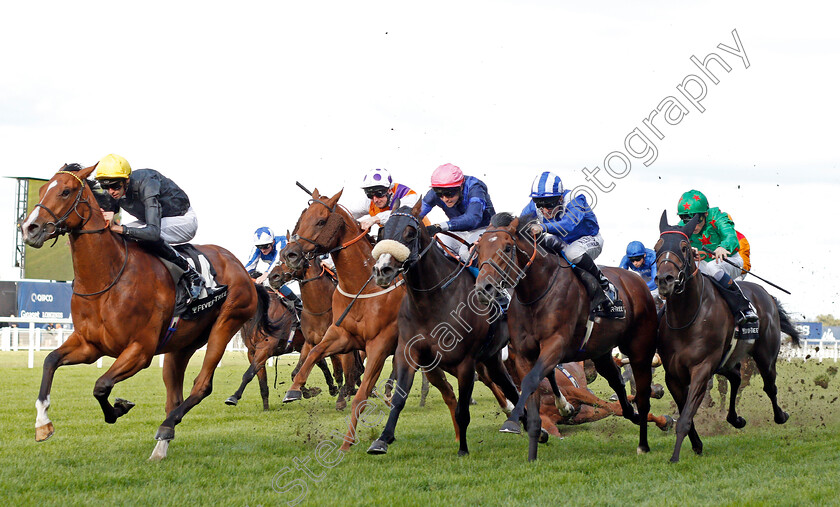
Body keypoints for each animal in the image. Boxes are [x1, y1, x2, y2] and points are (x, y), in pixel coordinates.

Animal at [22, 163, 276, 460]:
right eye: (42, 188)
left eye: (66, 191)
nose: (29, 228)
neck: (107, 278)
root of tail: (242, 270)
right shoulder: (89, 345)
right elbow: (50, 361)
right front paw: (42, 423)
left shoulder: (140, 350)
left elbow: (101, 385)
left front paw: (118, 408)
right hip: (181, 345)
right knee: (174, 396)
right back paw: (161, 446)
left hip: (226, 324)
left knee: (202, 385)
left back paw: (166, 427)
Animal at [278, 189, 404, 450]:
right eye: (301, 218)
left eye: (321, 221)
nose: (290, 254)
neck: (362, 286)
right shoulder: (341, 336)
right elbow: (314, 355)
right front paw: (294, 390)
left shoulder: (379, 344)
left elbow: (359, 390)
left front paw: (347, 441)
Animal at [366, 202, 520, 456]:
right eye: (382, 232)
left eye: (410, 233)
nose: (382, 270)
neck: (432, 300)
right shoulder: (409, 351)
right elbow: (399, 398)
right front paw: (382, 439)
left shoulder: (466, 362)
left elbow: (462, 410)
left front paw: (463, 449)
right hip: (491, 359)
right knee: (509, 388)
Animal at [472, 212, 664, 462]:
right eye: (478, 248)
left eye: (507, 247)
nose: (484, 288)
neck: (535, 294)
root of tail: (636, 280)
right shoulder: (523, 355)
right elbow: (530, 387)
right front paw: (532, 447)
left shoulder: (556, 345)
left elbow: (533, 381)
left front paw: (515, 422)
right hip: (600, 351)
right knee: (616, 381)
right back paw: (631, 412)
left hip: (639, 344)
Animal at [648, 212, 800, 462]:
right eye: (657, 246)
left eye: (684, 247)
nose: (665, 280)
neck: (686, 318)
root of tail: (766, 295)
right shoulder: (673, 374)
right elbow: (685, 412)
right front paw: (697, 445)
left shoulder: (702, 367)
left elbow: (686, 415)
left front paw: (675, 456)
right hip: (727, 360)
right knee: (736, 379)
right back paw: (734, 419)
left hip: (765, 356)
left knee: (769, 386)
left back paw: (781, 416)